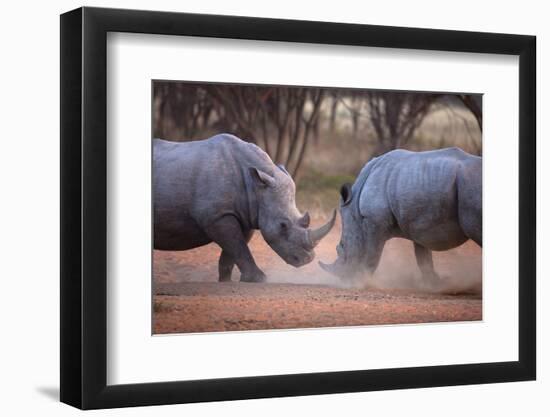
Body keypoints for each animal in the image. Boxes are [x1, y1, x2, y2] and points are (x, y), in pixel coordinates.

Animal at [153, 133, 338, 282]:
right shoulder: (216, 216)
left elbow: (234, 249)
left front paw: (227, 280)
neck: (256, 186)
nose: (307, 260)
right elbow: (238, 246)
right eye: (283, 226)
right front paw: (259, 279)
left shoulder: (246, 214)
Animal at [320, 145, 484, 284]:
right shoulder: (420, 223)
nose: (344, 279)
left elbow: (372, 254)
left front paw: (361, 281)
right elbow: (423, 258)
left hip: (470, 185)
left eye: (342, 248)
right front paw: (435, 284)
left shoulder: (374, 221)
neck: (354, 207)